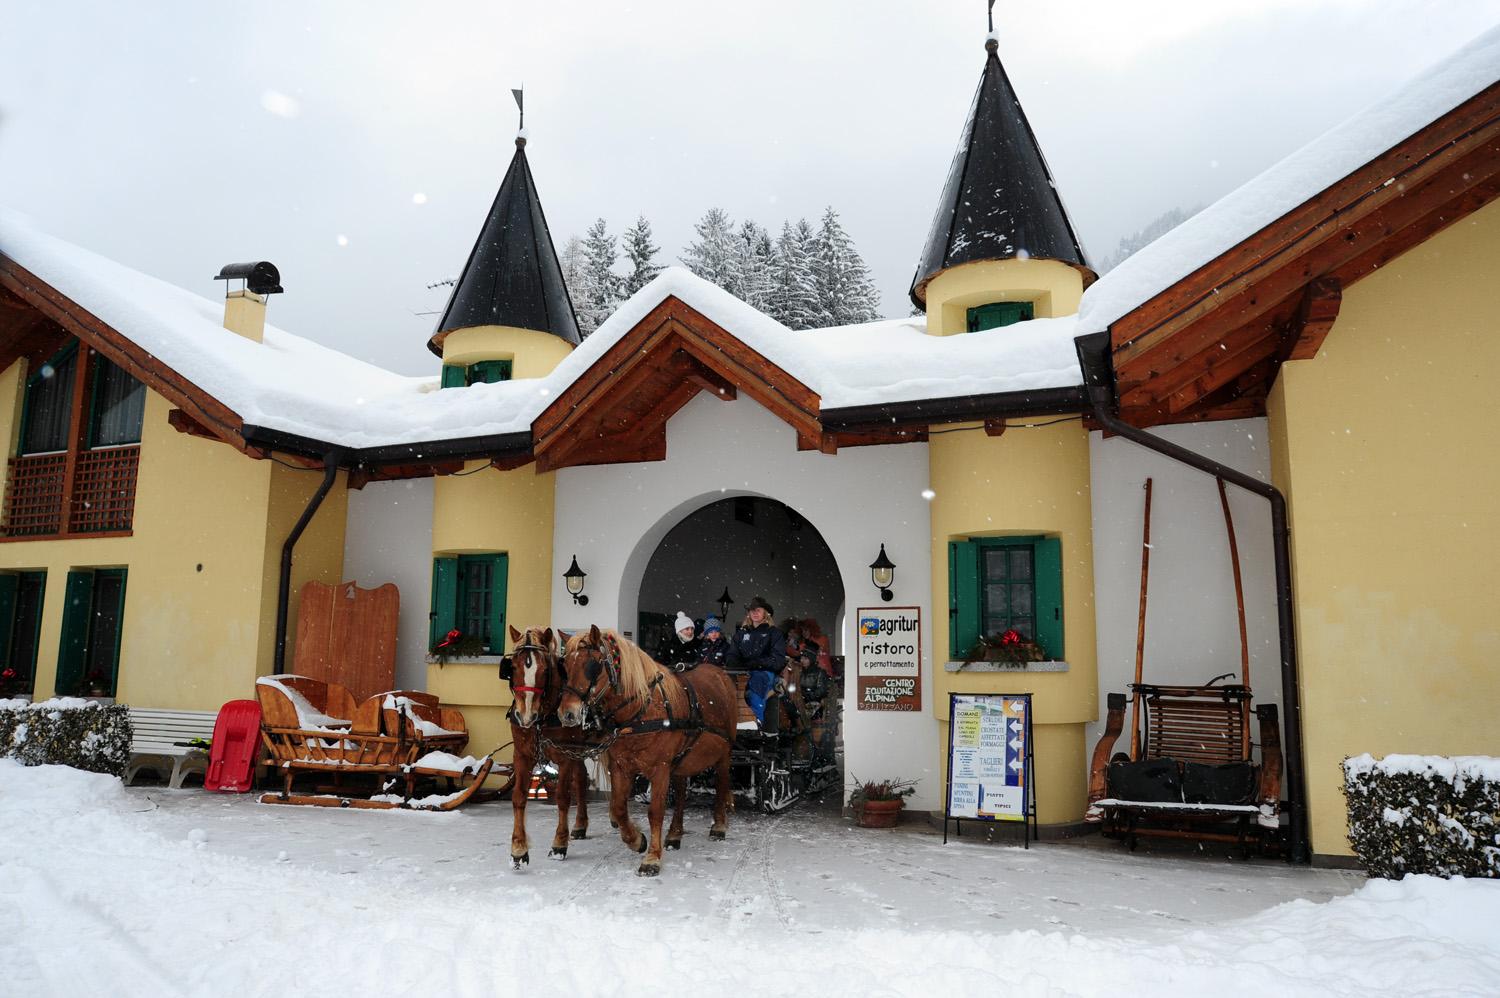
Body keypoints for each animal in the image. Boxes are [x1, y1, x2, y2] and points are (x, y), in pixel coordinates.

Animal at [507, 624, 594, 864]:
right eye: (513, 667)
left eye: (545, 670)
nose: (526, 716)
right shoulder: (522, 755)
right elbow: (518, 796)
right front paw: (518, 848)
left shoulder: (566, 756)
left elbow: (563, 797)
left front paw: (559, 844)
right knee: (581, 779)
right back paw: (580, 825)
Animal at [555, 627, 735, 876]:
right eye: (564, 665)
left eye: (592, 665)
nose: (567, 714)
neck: (641, 711)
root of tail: (720, 673)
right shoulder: (621, 766)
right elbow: (619, 808)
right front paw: (637, 840)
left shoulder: (660, 769)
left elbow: (655, 811)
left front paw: (652, 858)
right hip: (682, 761)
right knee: (681, 794)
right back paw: (675, 834)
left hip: (724, 755)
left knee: (721, 785)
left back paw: (718, 825)